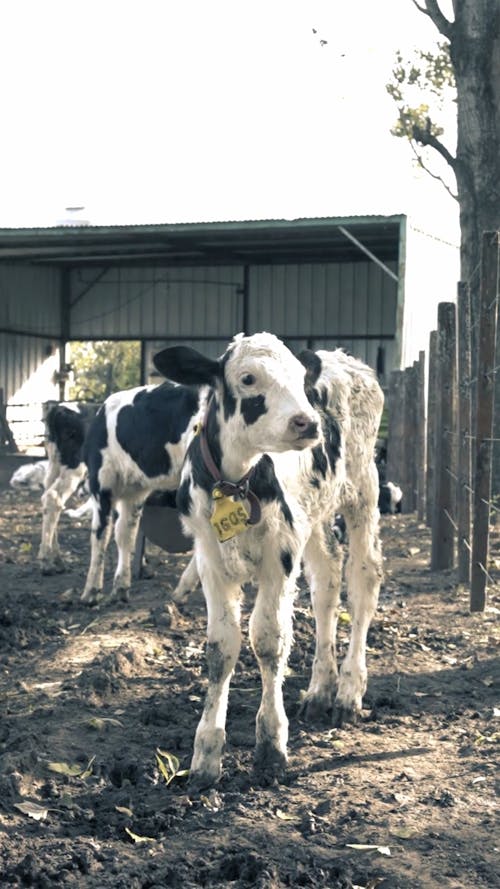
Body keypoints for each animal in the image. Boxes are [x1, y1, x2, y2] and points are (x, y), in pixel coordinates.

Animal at [81, 382, 206, 604]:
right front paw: (120, 587)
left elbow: (100, 535)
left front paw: (91, 591)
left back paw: (183, 588)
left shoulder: (101, 482)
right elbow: (125, 533)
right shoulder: (135, 491)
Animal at [154, 332, 384, 784]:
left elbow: (268, 640)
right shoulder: (210, 559)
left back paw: (349, 691)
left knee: (363, 583)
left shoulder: (281, 554)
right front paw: (206, 755)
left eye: (299, 379)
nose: (308, 422)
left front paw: (271, 745)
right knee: (326, 582)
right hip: (315, 514)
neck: (237, 479)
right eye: (248, 378)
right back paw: (320, 690)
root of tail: (343, 357)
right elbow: (221, 647)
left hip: (362, 489)